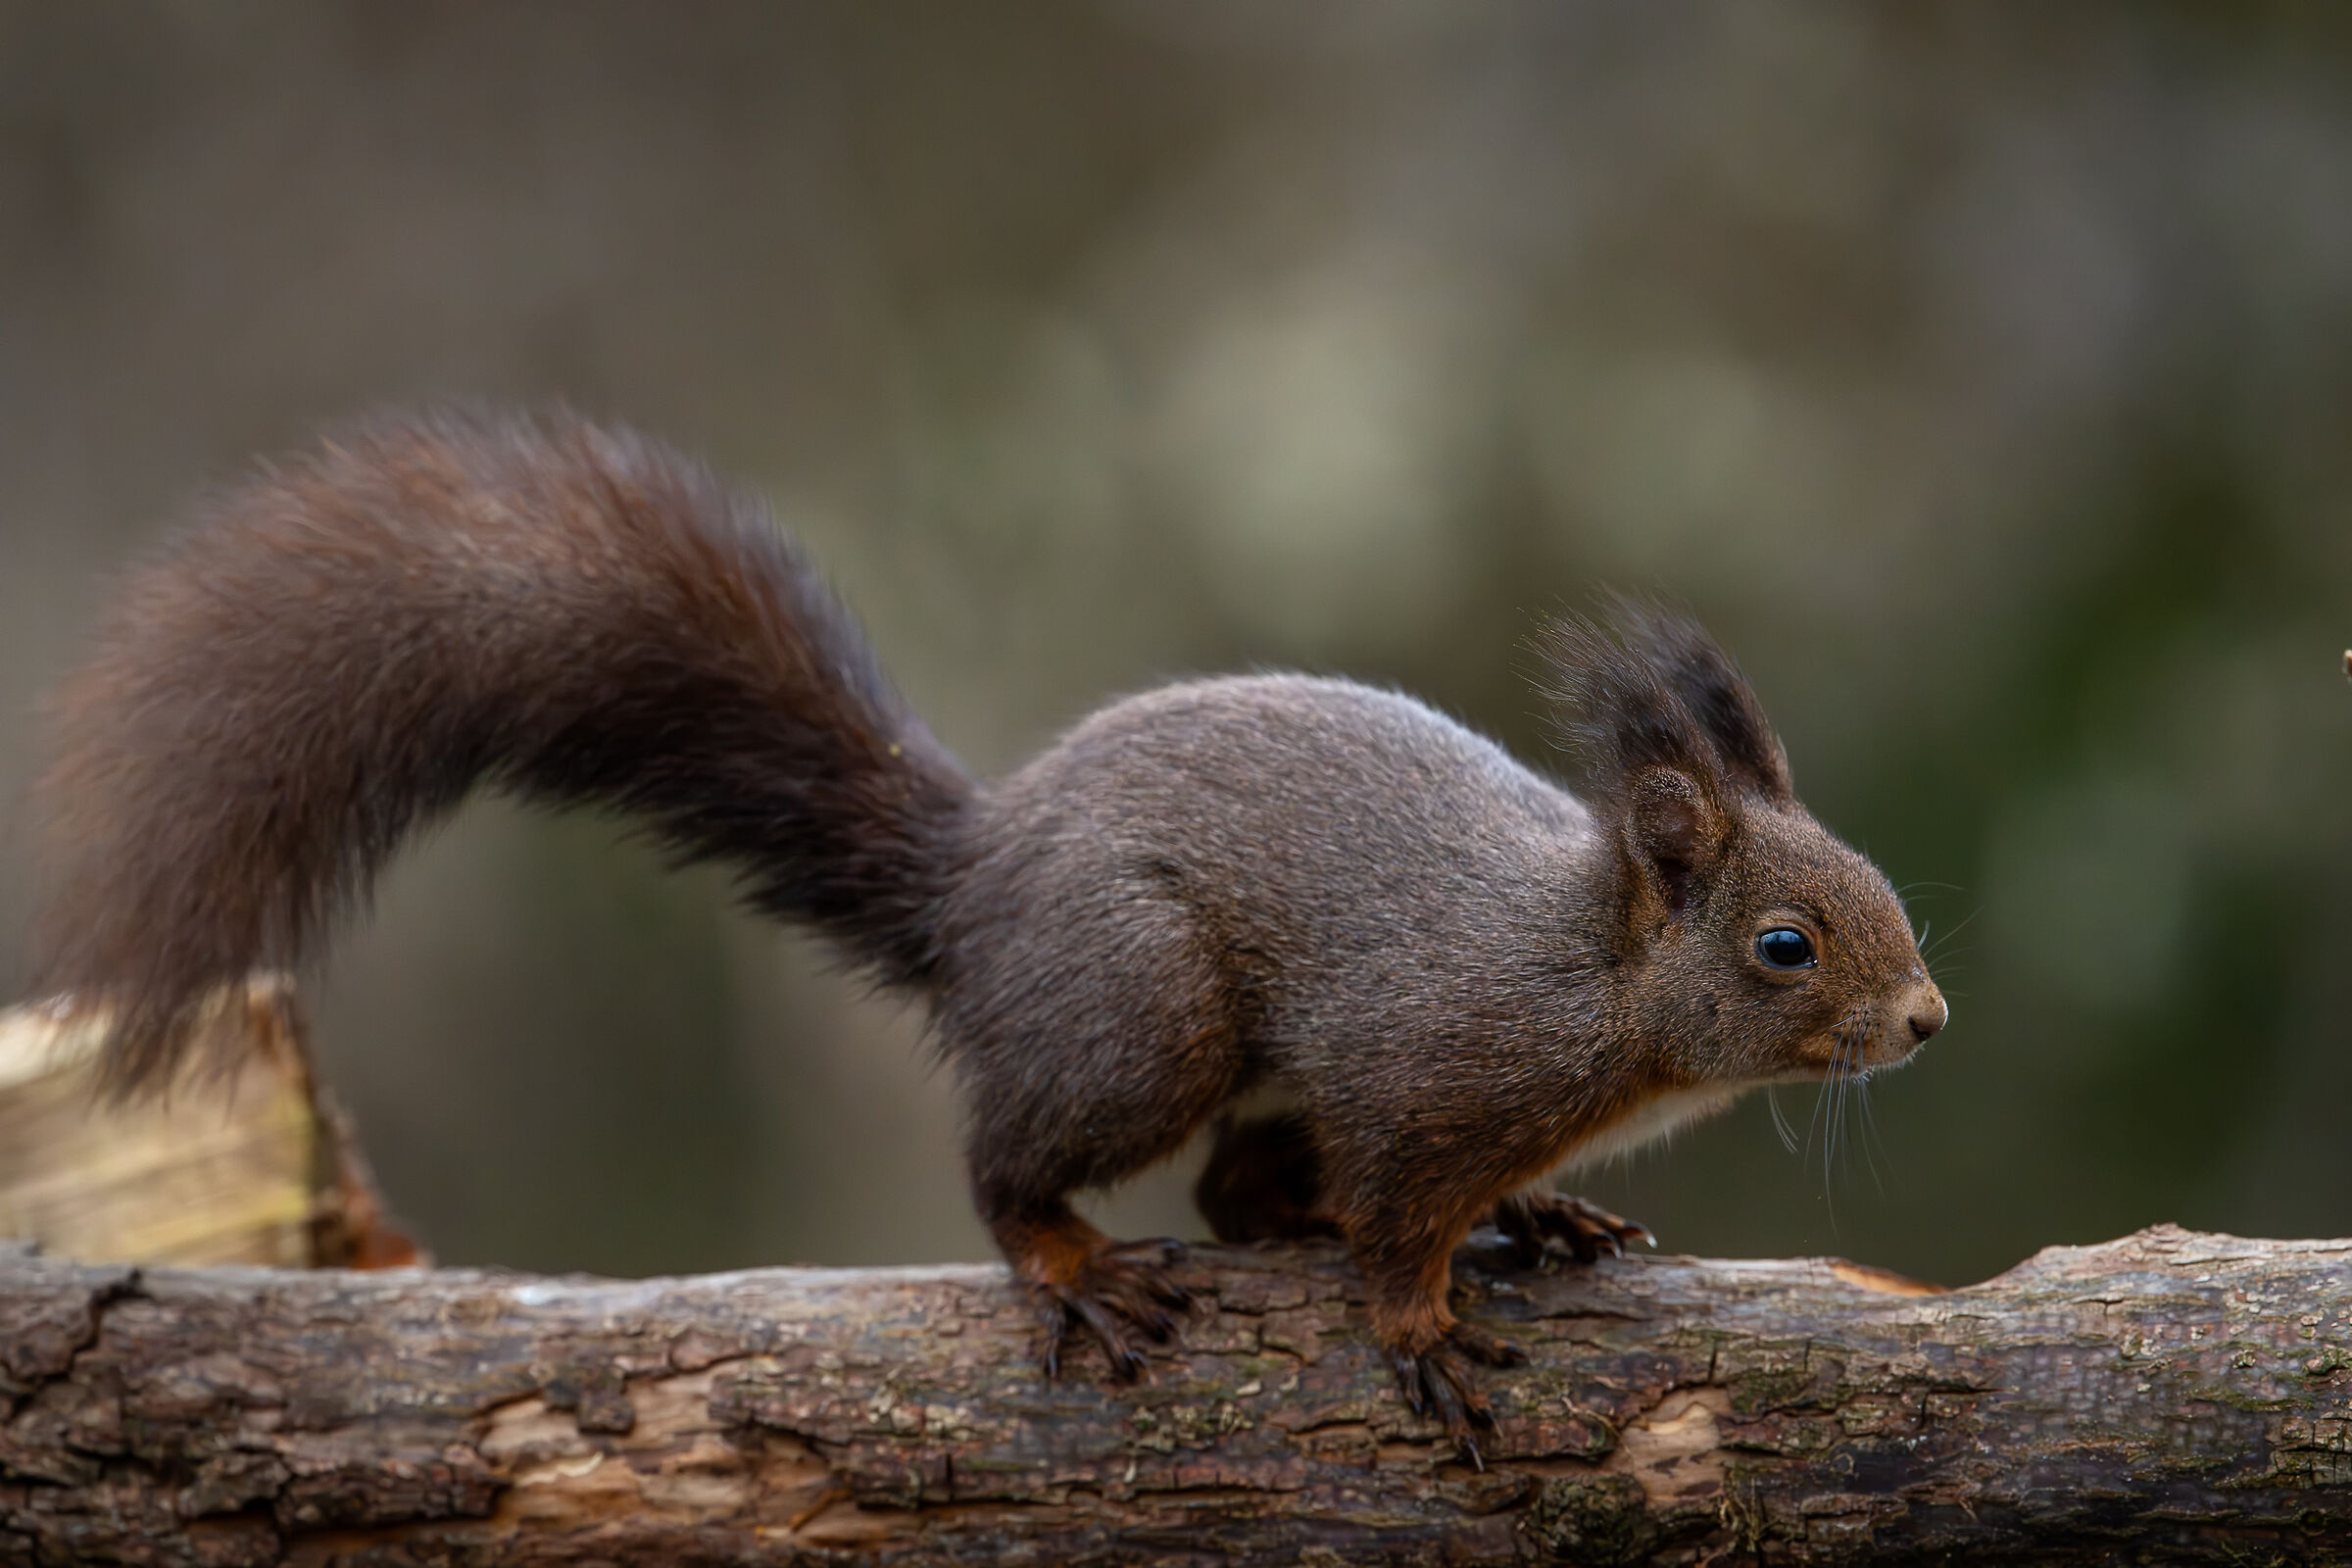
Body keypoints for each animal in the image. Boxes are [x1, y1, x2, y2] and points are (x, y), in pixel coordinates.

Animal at [29, 409, 1945, 1465]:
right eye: (1787, 945)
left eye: (1871, 883)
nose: (1928, 1020)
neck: (1595, 989)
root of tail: (978, 890)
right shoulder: (1420, 1071)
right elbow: (1394, 1223)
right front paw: (1421, 1331)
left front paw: (1543, 1213)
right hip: (1146, 1015)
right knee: (1040, 1170)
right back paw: (1072, 1267)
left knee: (1243, 1190)